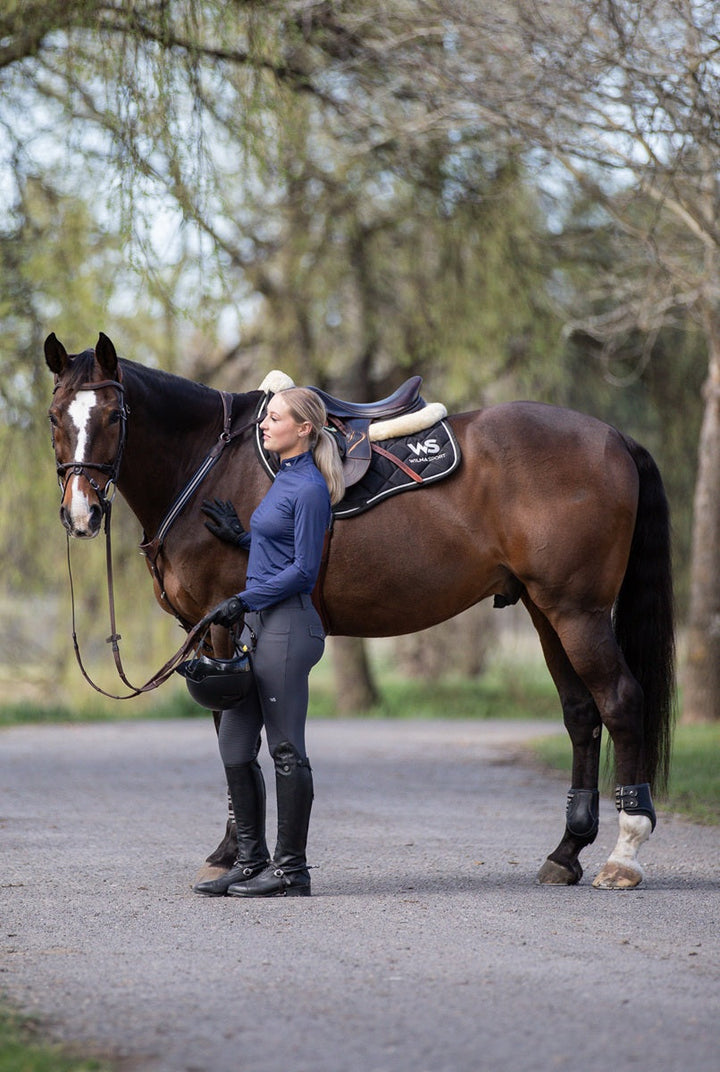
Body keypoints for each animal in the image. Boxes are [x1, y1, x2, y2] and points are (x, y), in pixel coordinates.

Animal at [44, 331, 675, 890]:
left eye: (114, 417)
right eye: (54, 417)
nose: (81, 514)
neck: (207, 463)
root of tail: (613, 436)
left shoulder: (224, 627)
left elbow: (235, 735)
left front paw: (231, 855)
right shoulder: (202, 631)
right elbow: (231, 734)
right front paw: (235, 853)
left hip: (579, 612)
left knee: (620, 702)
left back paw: (623, 855)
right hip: (548, 612)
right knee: (581, 714)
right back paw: (566, 853)